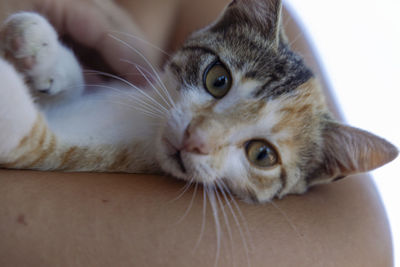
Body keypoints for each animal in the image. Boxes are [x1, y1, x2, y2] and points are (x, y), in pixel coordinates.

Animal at [0, 0, 396, 203]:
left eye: (262, 155)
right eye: (218, 80)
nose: (196, 138)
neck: (141, 123)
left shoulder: (66, 153)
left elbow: (27, 136)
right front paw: (39, 46)